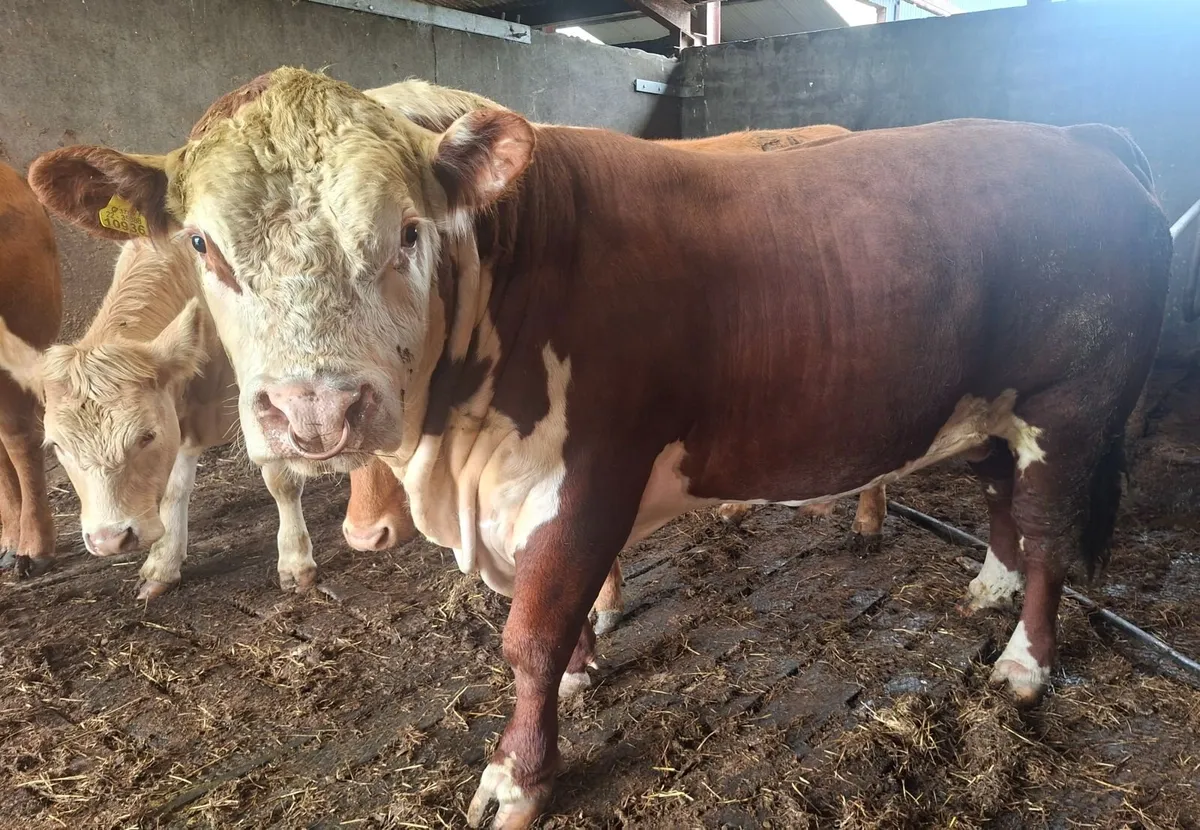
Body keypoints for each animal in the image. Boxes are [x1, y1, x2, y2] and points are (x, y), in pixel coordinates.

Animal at [26, 69, 1171, 829]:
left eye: (407, 231)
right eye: (205, 243)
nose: (316, 411)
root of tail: (1081, 139)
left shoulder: (587, 477)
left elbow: (530, 631)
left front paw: (519, 774)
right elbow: (552, 612)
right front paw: (581, 672)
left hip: (1073, 408)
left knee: (1051, 536)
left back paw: (1024, 661)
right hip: (998, 407)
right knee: (1004, 499)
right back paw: (987, 583)